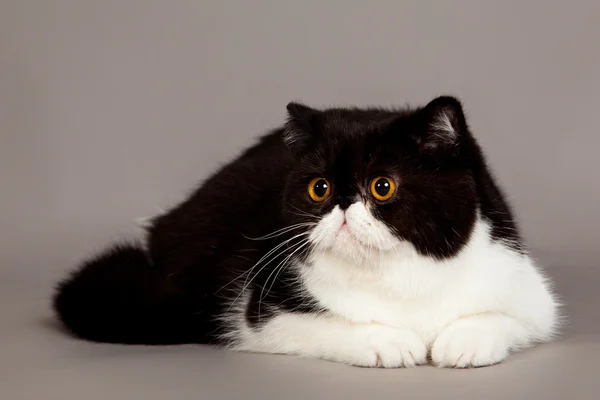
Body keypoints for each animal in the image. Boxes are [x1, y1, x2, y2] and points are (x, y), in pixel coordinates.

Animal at [54, 95, 560, 368]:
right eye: (320, 188)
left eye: (382, 185)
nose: (341, 205)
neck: (400, 275)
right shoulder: (262, 315)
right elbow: (331, 324)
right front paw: (391, 342)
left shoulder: (532, 297)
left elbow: (507, 317)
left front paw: (464, 342)